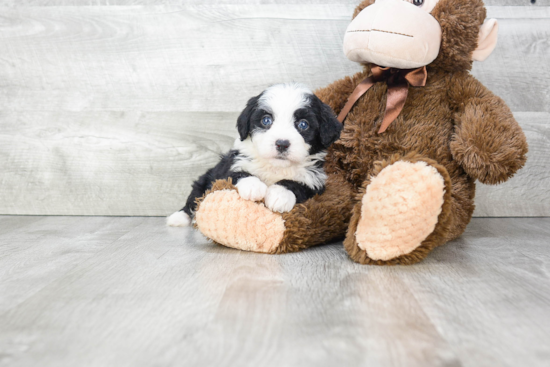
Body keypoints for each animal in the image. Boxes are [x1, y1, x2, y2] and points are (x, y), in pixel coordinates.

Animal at [166, 83, 342, 227]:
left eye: (303, 124)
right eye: (266, 120)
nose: (282, 143)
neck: (275, 167)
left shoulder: (314, 180)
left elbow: (296, 184)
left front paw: (280, 195)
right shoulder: (231, 166)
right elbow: (238, 173)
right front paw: (253, 186)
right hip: (203, 180)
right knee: (194, 198)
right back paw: (179, 218)